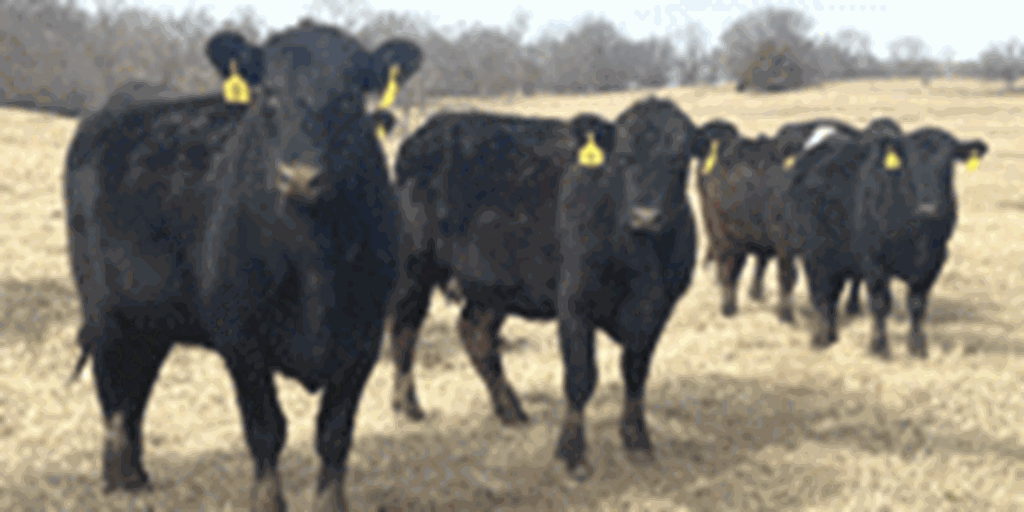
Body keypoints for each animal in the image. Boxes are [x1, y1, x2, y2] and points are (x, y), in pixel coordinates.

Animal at [64, 20, 422, 511]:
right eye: (268, 94)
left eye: (350, 97)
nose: (300, 176)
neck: (315, 262)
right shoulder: (240, 338)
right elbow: (266, 429)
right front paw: (267, 501)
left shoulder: (362, 339)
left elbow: (334, 434)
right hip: (104, 309)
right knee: (113, 389)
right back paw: (116, 478)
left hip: (153, 319)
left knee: (137, 387)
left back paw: (136, 476)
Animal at [388, 110, 618, 424]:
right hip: (416, 271)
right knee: (405, 329)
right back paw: (408, 404)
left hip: (491, 289)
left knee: (474, 332)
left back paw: (509, 409)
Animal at [554, 97, 706, 479]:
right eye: (622, 156)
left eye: (680, 157)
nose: (646, 217)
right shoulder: (572, 304)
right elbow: (579, 376)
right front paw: (572, 453)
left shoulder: (658, 309)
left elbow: (635, 371)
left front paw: (637, 440)